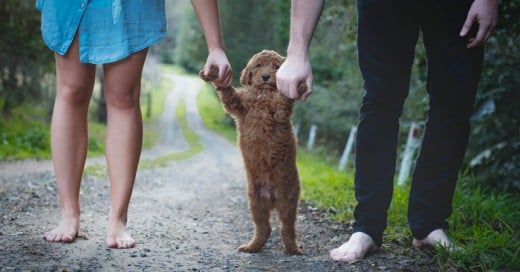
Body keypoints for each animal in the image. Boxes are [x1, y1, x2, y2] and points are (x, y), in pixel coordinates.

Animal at [199, 49, 304, 255]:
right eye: (258, 66)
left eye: (276, 67)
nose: (265, 77)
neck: (262, 93)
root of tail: (272, 196)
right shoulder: (238, 105)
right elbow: (228, 92)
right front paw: (215, 74)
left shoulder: (279, 113)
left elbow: (283, 100)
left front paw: (297, 85)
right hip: (255, 201)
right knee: (264, 227)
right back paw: (252, 246)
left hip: (288, 198)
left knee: (287, 226)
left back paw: (292, 248)